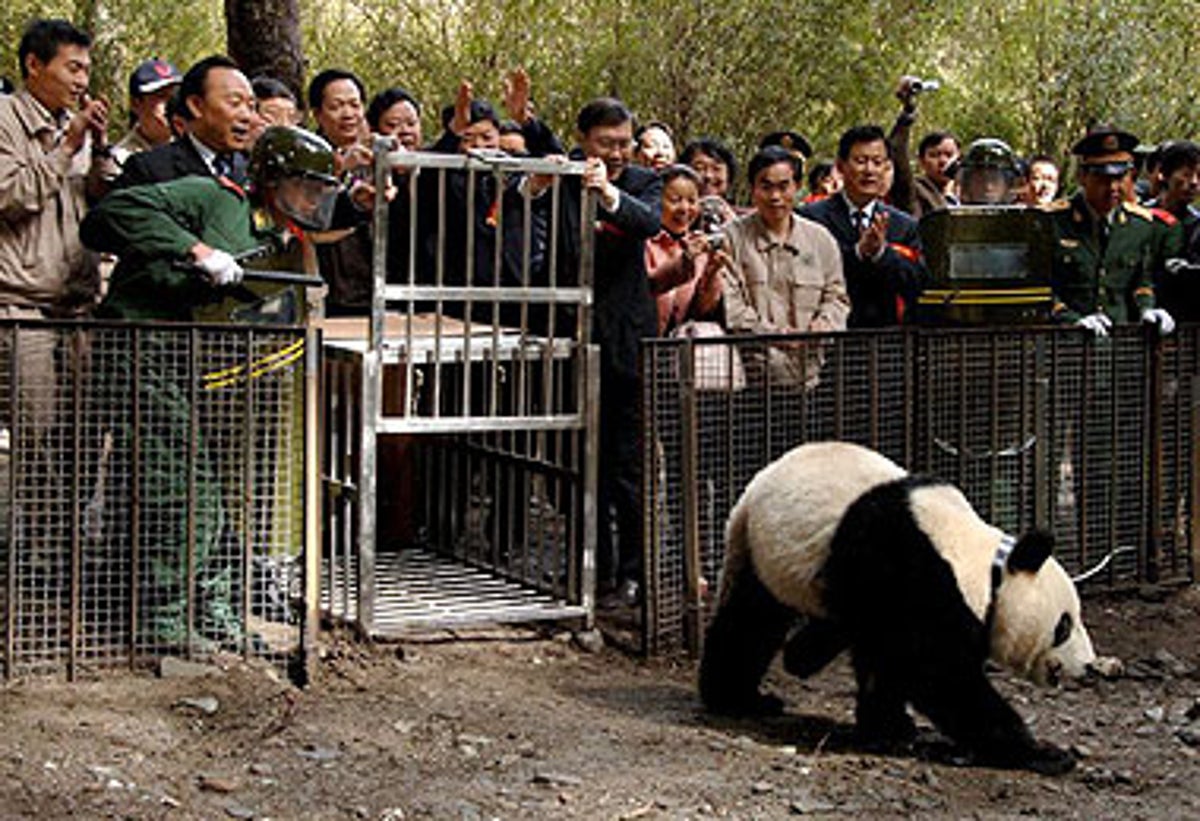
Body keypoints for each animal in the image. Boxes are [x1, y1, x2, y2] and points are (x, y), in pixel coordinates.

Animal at [700, 439, 1104, 772]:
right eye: (1064, 625)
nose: (1088, 665)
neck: (985, 568)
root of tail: (749, 494)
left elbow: (889, 663)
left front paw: (890, 727)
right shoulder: (907, 565)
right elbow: (938, 672)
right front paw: (1042, 752)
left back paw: (794, 661)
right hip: (768, 552)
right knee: (750, 622)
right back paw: (737, 699)